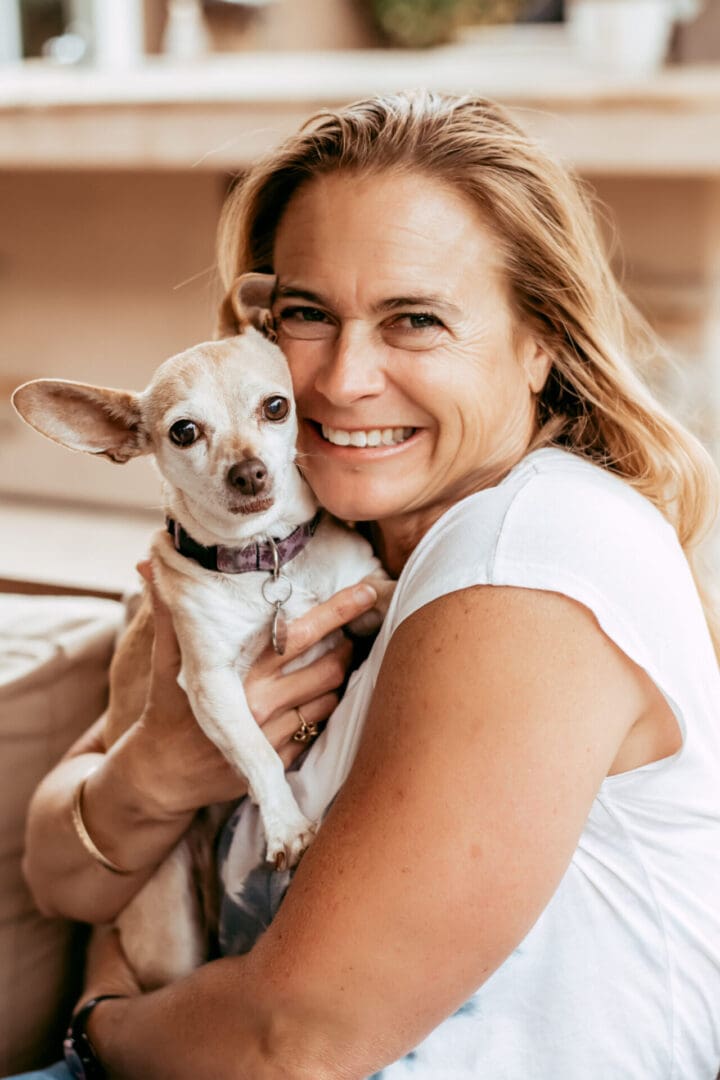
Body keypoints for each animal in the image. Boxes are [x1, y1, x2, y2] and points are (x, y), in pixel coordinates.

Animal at [12, 274, 395, 989]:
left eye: (276, 407)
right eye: (184, 432)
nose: (249, 471)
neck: (266, 562)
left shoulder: (361, 596)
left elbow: (382, 590)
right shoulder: (211, 685)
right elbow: (258, 752)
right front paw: (284, 825)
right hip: (170, 924)